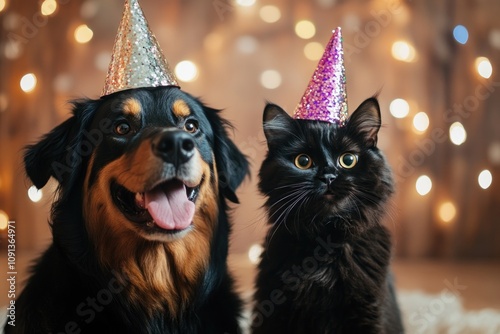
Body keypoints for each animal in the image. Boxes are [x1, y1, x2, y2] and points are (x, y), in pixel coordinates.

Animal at [252, 97, 404, 334]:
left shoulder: (367, 312)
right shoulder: (273, 307)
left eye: (348, 160)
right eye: (303, 161)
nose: (329, 176)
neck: (325, 242)